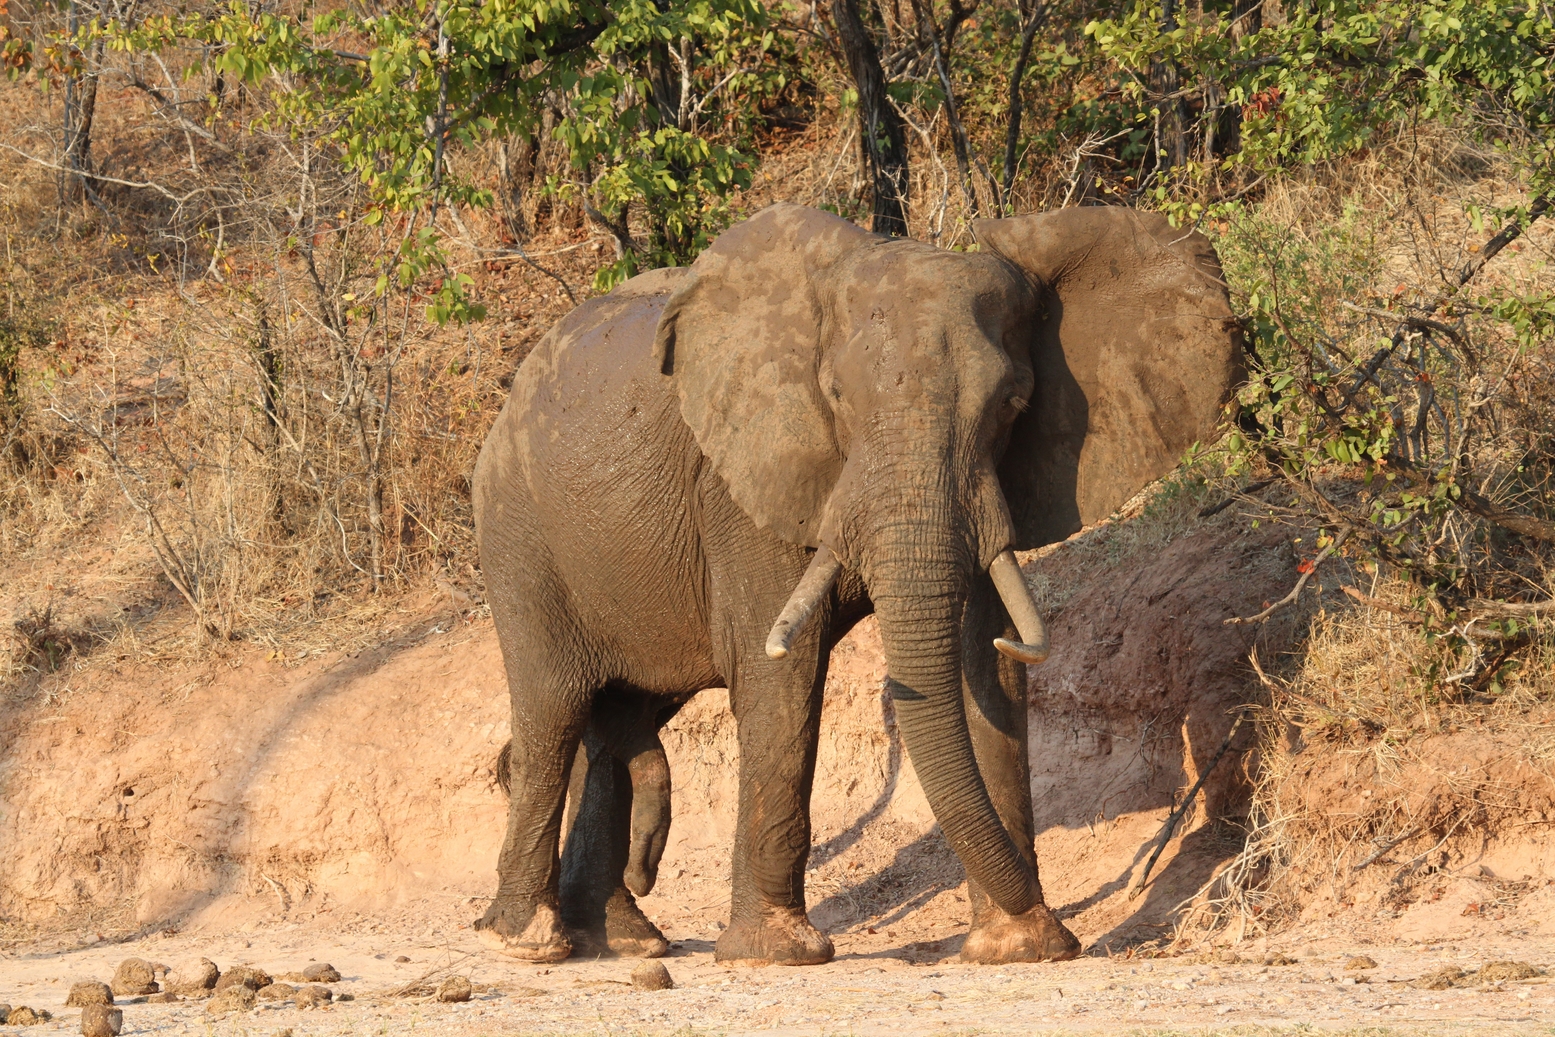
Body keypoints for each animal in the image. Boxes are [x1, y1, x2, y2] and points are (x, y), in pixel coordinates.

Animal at [471, 202, 1242, 966]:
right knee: (553, 708)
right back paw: (529, 939)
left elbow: (985, 665)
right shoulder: (746, 479)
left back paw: (622, 939)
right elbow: (779, 672)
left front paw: (1019, 947)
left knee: (619, 721)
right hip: (516, 534)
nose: (1064, 928)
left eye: (1013, 404)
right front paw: (777, 953)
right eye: (836, 397)